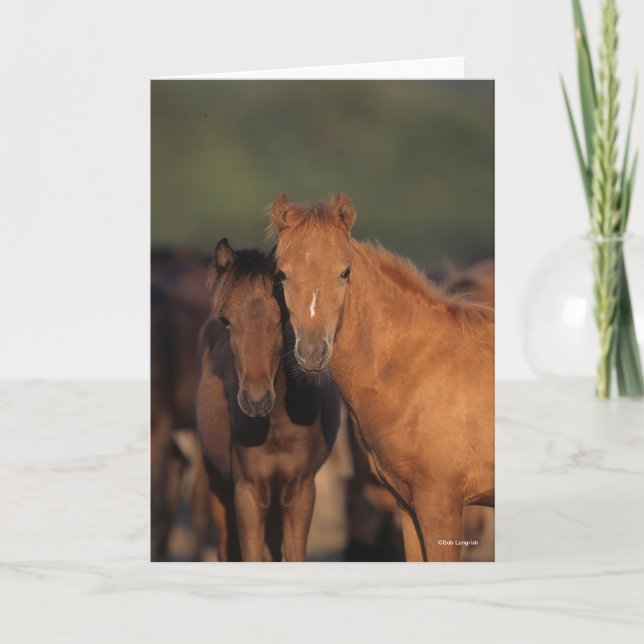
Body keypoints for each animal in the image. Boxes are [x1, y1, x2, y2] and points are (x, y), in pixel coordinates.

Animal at [196, 239, 340, 561]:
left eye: (282, 317)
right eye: (226, 320)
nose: (256, 400)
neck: (275, 427)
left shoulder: (300, 490)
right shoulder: (248, 491)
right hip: (217, 484)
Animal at [270, 193, 494, 562]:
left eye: (345, 272)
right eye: (282, 273)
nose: (313, 353)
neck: (420, 368)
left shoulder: (440, 503)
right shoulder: (407, 505)